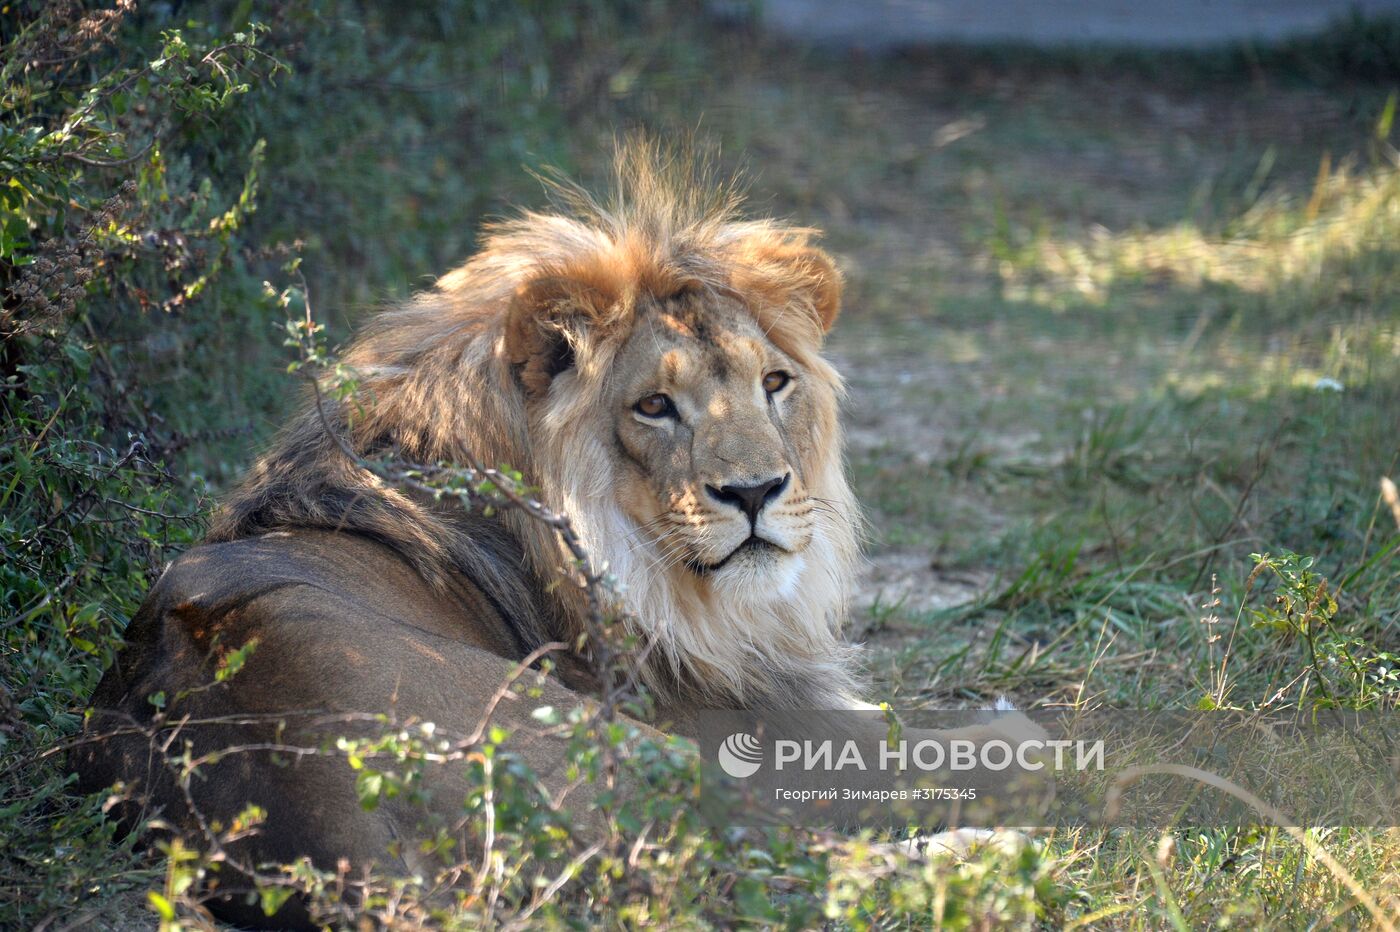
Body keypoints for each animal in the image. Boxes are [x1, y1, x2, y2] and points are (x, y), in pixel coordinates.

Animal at [73, 141, 1041, 923]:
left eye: (774, 383)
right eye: (654, 405)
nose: (757, 489)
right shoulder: (743, 723)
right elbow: (939, 746)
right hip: (623, 746)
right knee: (769, 859)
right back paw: (982, 855)